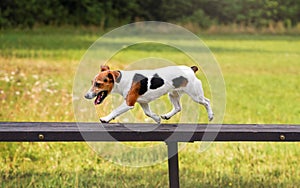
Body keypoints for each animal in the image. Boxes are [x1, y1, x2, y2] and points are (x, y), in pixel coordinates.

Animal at [85, 64, 213, 123]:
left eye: (98, 84)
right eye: (92, 82)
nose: (85, 96)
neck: (122, 80)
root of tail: (191, 69)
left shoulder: (128, 102)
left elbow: (115, 110)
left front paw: (106, 118)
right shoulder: (143, 102)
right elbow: (148, 113)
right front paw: (156, 118)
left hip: (195, 95)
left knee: (207, 102)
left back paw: (211, 116)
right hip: (173, 94)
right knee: (178, 107)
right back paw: (167, 116)